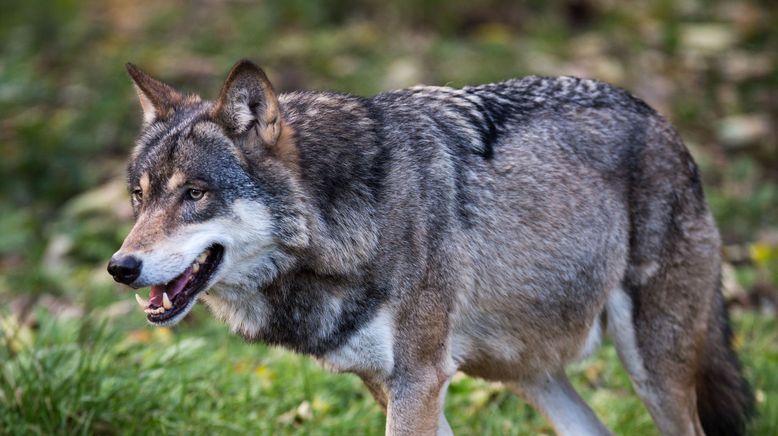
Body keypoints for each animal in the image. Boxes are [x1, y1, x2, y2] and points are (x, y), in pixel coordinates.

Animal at [107, 59, 752, 434]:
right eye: (139, 196)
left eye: (194, 193)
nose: (120, 267)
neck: (348, 220)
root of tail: (666, 125)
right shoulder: (389, 385)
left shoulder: (418, 381)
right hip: (528, 376)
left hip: (653, 370)